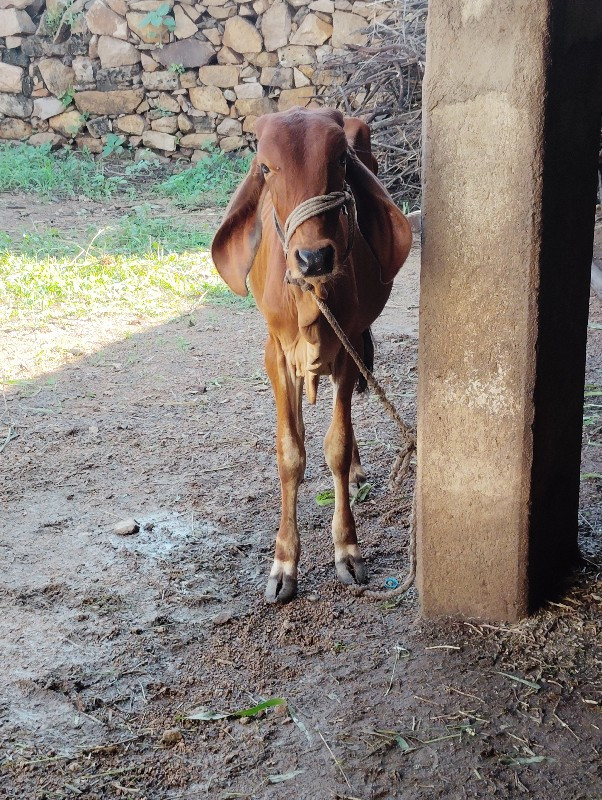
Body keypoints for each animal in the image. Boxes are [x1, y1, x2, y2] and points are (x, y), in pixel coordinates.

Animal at [211, 108, 412, 608]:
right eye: (265, 168)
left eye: (340, 160)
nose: (314, 258)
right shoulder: (276, 355)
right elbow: (290, 453)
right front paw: (284, 563)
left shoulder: (348, 346)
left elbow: (336, 446)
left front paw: (347, 549)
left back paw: (357, 470)